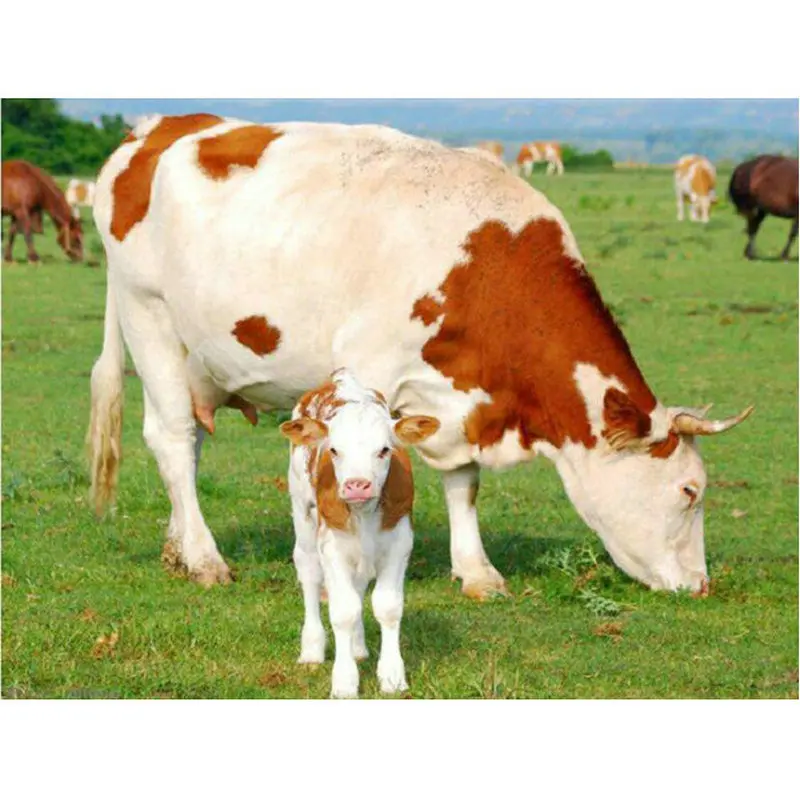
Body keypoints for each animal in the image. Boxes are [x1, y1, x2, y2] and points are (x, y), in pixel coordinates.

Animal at [88, 113, 752, 599]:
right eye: (690, 491)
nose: (700, 585)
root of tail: (153, 128)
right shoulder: (368, 370)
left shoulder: (462, 396)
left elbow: (464, 483)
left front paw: (477, 571)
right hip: (148, 316)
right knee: (173, 439)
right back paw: (203, 558)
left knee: (189, 444)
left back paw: (178, 546)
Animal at [279, 368, 440, 698]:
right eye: (334, 450)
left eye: (384, 450)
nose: (357, 485)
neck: (364, 513)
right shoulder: (331, 546)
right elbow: (343, 610)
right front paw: (344, 681)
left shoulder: (399, 543)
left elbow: (387, 607)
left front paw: (392, 675)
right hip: (302, 510)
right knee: (309, 571)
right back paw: (312, 649)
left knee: (359, 583)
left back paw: (357, 647)